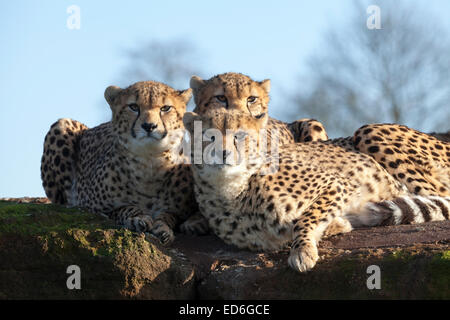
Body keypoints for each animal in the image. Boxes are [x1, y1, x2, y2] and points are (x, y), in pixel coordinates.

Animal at [41, 80, 196, 242]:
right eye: (133, 107)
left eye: (165, 108)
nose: (149, 126)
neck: (150, 163)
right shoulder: (87, 205)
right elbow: (122, 209)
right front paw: (138, 218)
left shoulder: (182, 211)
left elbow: (169, 216)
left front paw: (163, 227)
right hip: (62, 125)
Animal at [183, 109, 450, 272]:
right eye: (209, 136)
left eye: (239, 135)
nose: (224, 153)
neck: (231, 186)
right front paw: (338, 224)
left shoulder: (335, 183)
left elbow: (305, 219)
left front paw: (303, 251)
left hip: (369, 131)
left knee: (439, 196)